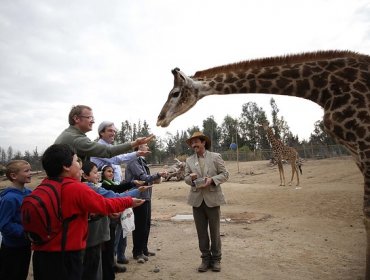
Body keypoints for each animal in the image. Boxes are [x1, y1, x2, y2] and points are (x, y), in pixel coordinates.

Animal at [155, 50, 370, 278]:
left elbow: (367, 214)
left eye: (175, 93)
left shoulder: (364, 143)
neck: (322, 89)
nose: (159, 119)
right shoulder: (357, 150)